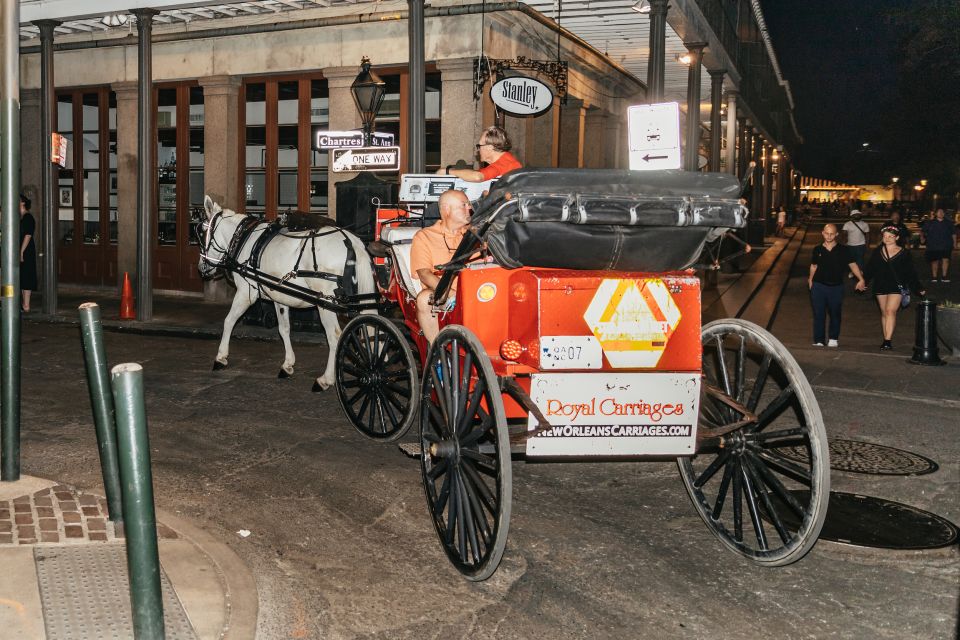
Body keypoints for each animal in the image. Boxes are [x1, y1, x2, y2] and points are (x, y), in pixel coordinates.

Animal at [201, 194, 376, 390]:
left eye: (203, 231)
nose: (202, 267)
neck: (244, 239)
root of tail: (350, 241)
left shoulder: (246, 294)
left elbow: (229, 321)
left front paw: (221, 357)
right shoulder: (280, 296)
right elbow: (284, 329)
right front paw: (287, 365)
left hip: (326, 303)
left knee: (334, 336)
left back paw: (326, 379)